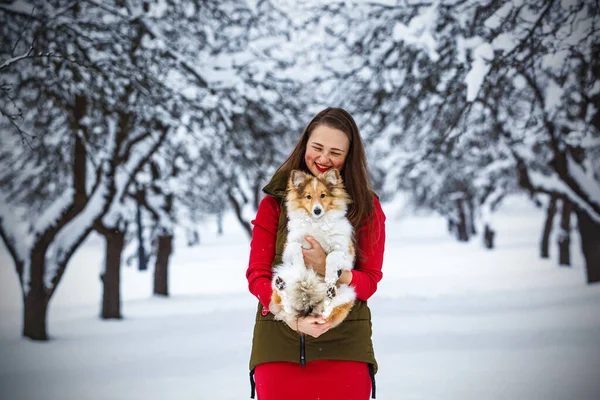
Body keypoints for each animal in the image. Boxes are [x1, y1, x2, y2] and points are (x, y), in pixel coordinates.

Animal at [268, 169, 356, 328]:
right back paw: (282, 285)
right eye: (308, 196)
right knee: (286, 307)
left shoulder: (346, 254)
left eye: (323, 195)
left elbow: (331, 256)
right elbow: (296, 248)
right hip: (281, 275)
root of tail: (308, 303)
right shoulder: (289, 246)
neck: (317, 222)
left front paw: (330, 275)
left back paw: (330, 292)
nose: (317, 210)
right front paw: (300, 267)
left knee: (326, 312)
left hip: (348, 293)